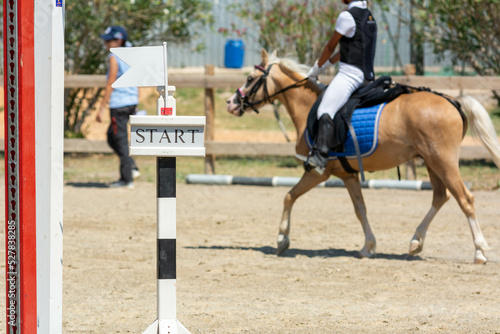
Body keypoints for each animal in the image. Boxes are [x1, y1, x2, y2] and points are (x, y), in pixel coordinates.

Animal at [227, 49, 500, 264]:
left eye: (250, 79)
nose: (231, 103)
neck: (310, 108)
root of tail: (452, 100)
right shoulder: (346, 174)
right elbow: (360, 209)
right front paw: (368, 247)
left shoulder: (318, 172)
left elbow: (288, 196)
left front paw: (282, 239)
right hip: (433, 163)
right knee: (440, 197)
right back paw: (415, 242)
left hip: (443, 162)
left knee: (465, 199)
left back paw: (479, 251)